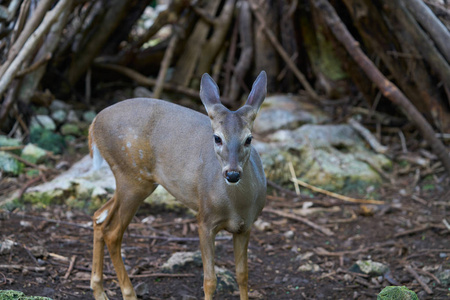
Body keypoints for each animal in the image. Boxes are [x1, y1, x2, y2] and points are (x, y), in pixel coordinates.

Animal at [89, 71, 268, 300]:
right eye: (217, 138)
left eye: (249, 139)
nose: (233, 173)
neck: (236, 205)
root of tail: (94, 122)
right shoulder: (204, 219)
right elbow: (210, 280)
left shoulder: (245, 226)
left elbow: (243, 275)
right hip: (132, 177)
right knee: (112, 232)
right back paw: (129, 293)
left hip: (132, 179)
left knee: (99, 217)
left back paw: (99, 291)